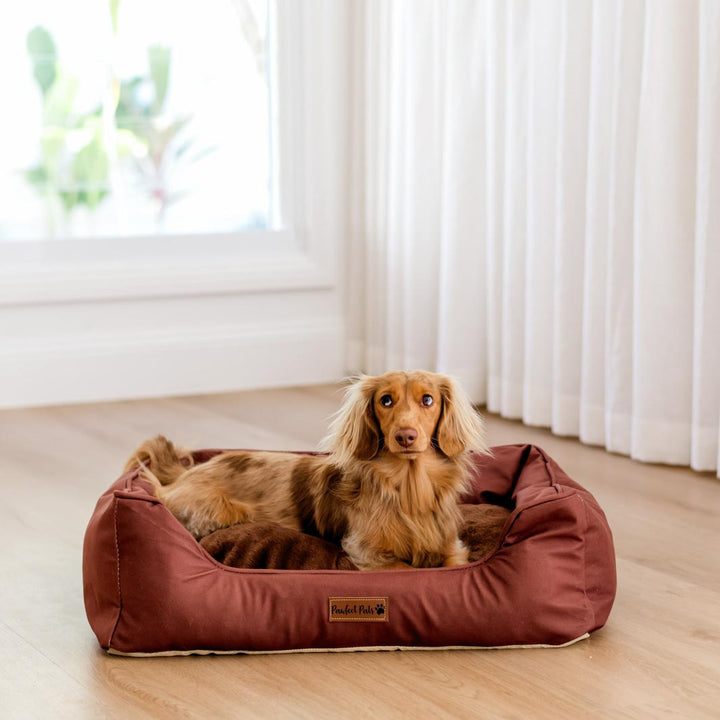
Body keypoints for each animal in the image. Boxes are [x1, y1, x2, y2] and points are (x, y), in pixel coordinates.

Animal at [126, 372, 492, 568]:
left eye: (428, 400)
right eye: (385, 400)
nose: (405, 436)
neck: (407, 488)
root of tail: (180, 476)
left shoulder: (452, 548)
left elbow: (453, 562)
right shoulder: (368, 553)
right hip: (220, 511)